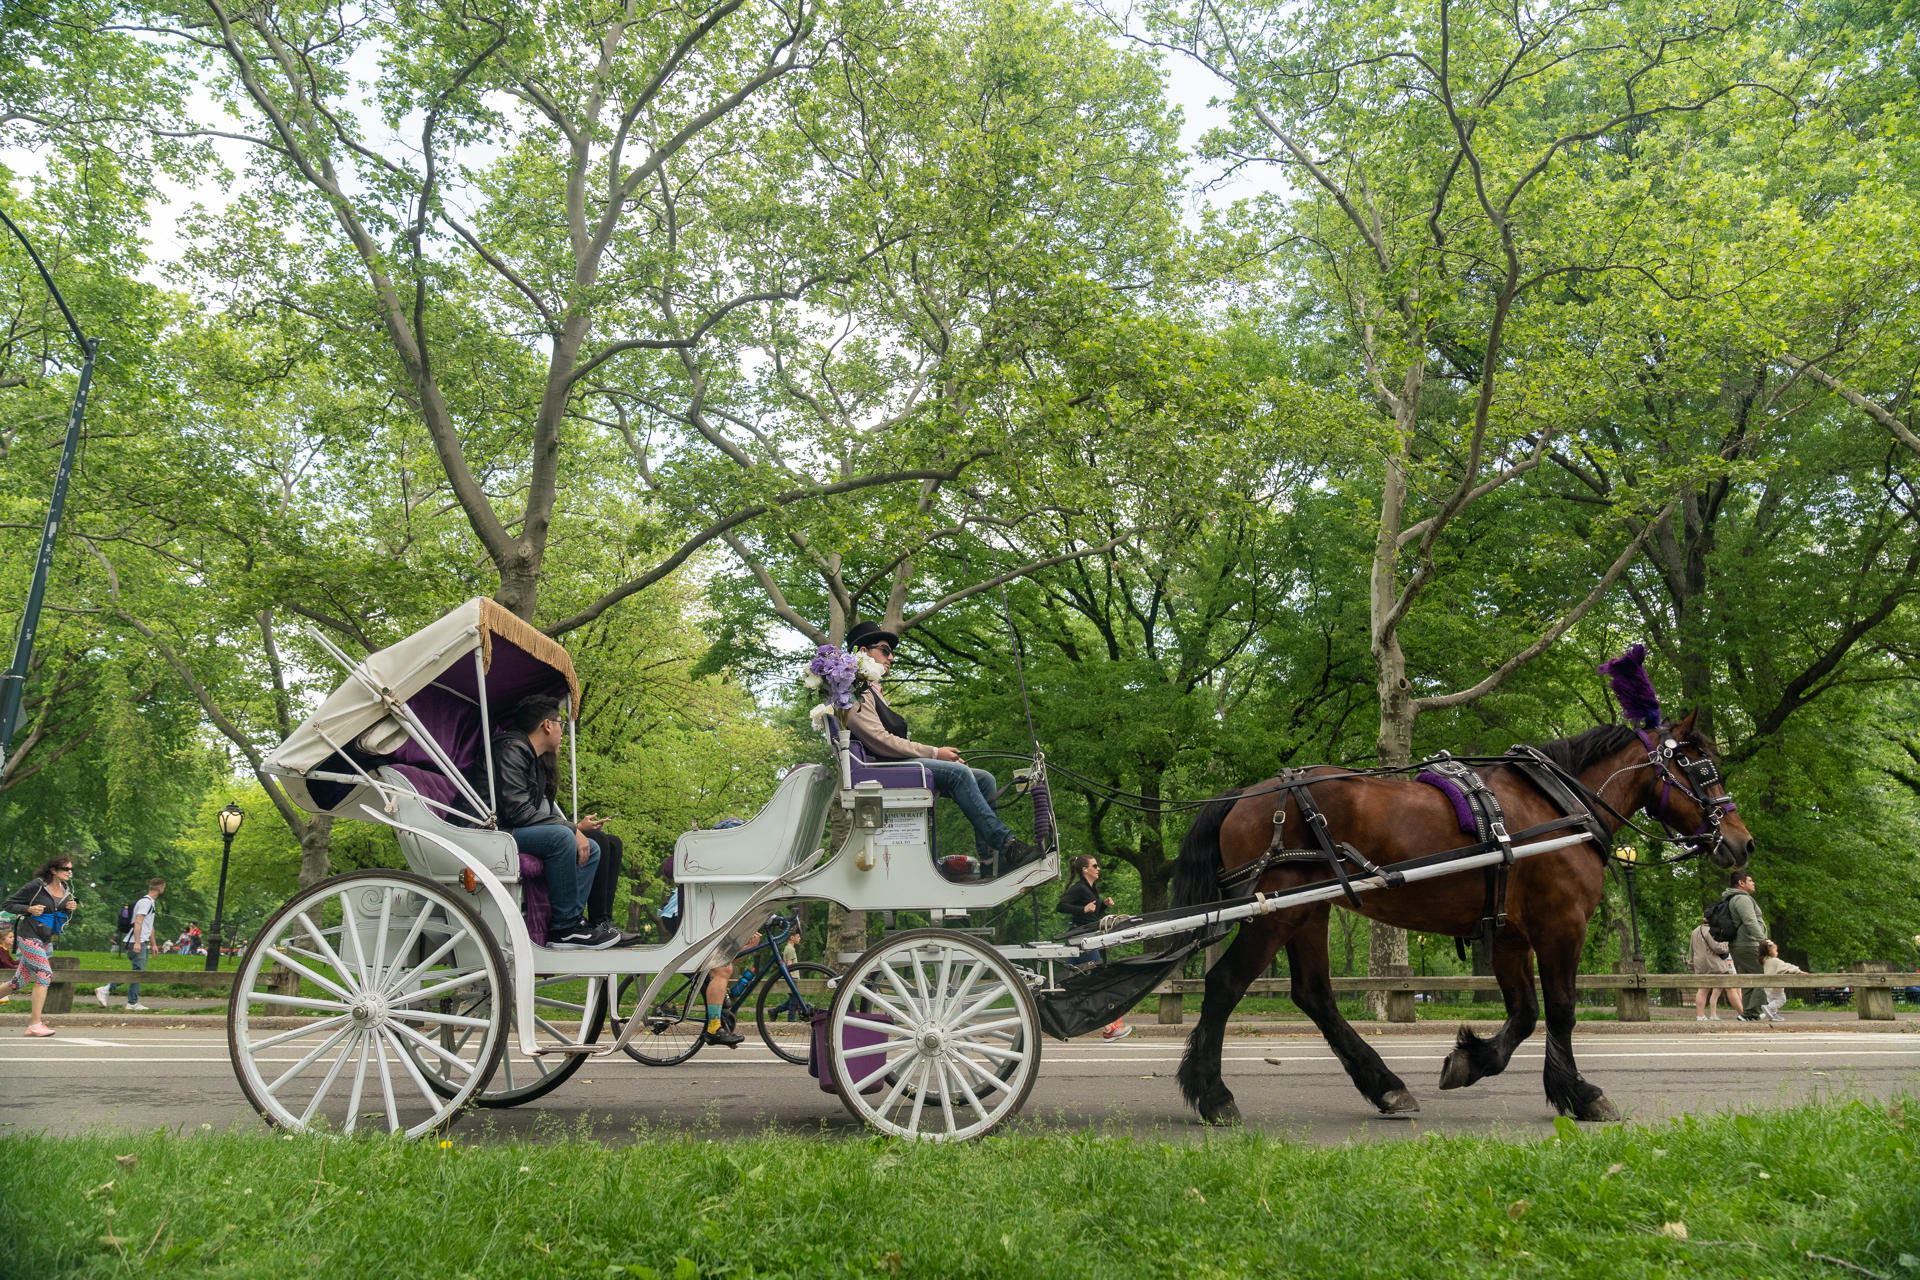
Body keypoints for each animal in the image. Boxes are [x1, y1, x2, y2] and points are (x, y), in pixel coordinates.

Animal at [1167, 717, 1758, 1128]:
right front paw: (1579, 1093)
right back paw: (1213, 1095)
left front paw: (1473, 1060)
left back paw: (1384, 1085)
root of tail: (1247, 794)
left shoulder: (1510, 933)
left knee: (1314, 995)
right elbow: (1561, 1011)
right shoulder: (1561, 924)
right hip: (1278, 911)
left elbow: (1525, 1013)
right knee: (1224, 985)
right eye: (1705, 771)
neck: (1560, 806)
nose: (1742, 842)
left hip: (1308, 911)